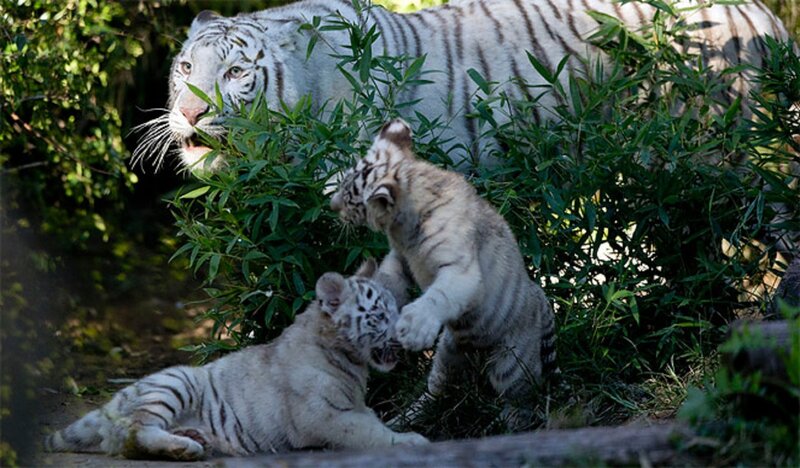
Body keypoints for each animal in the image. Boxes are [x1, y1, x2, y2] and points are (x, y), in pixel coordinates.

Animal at [42, 260, 428, 460]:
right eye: (379, 316)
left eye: (395, 309)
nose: (403, 333)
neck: (349, 359)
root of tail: (117, 398)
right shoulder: (325, 415)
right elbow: (369, 432)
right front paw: (411, 441)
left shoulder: (352, 406)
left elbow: (375, 422)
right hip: (176, 381)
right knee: (133, 434)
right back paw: (185, 447)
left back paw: (192, 438)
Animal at [329, 118, 558, 426]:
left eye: (351, 198)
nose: (331, 205)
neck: (402, 226)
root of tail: (543, 302)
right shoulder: (400, 259)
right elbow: (388, 279)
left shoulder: (460, 269)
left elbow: (440, 295)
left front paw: (414, 327)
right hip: (449, 353)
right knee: (438, 390)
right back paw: (402, 419)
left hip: (511, 361)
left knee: (522, 396)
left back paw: (509, 422)